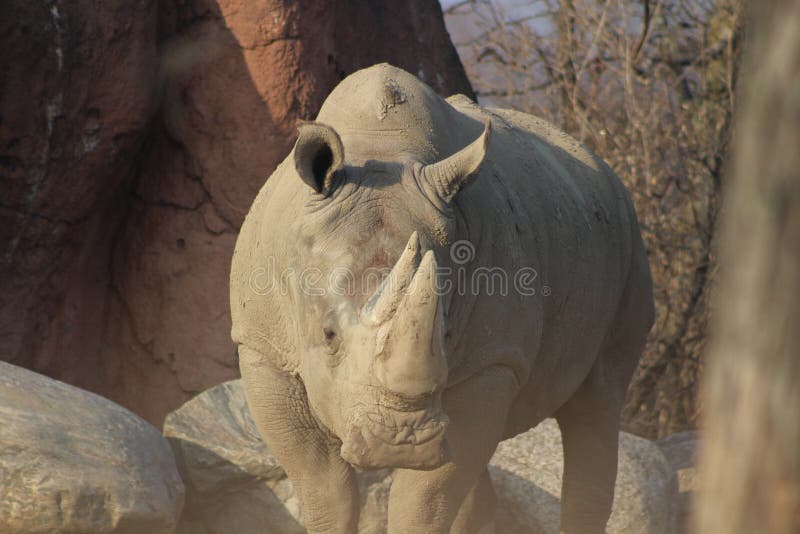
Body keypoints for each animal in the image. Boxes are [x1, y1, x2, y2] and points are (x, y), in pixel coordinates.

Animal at [228, 63, 652, 534]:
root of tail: (602, 166)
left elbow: (424, 497)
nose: (401, 439)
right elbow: (324, 486)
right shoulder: (263, 346)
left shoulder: (491, 361)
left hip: (628, 244)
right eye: (328, 335)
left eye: (446, 335)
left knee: (597, 404)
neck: (381, 146)